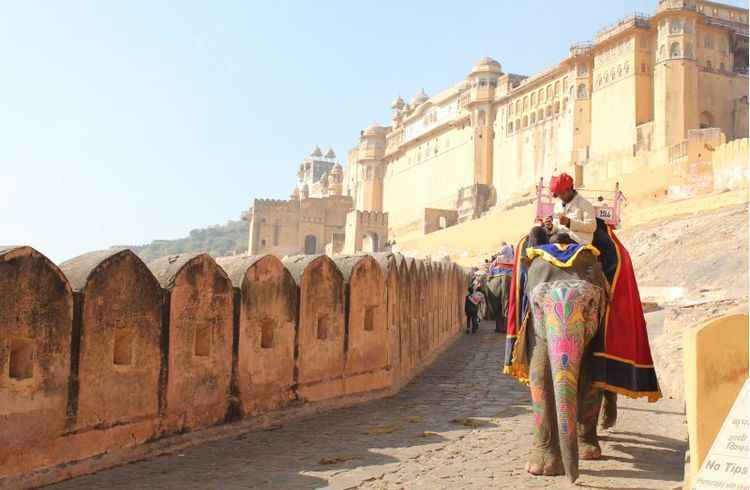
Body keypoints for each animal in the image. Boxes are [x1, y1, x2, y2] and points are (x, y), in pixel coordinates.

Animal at [524, 245, 612, 482]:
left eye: (590, 304)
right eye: (537, 306)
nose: (573, 480)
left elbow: (591, 375)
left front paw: (588, 454)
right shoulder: (536, 330)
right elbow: (538, 374)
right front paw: (541, 470)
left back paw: (606, 425)